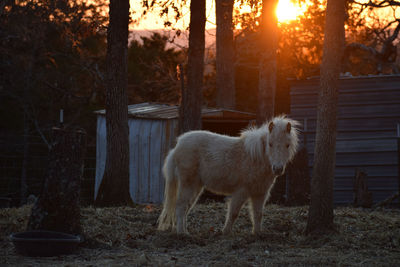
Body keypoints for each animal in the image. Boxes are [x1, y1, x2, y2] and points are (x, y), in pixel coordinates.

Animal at [158, 115, 298, 234]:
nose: (278, 169)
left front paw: (257, 234)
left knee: (186, 207)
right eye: (270, 144)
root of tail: (177, 146)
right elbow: (234, 213)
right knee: (181, 206)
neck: (255, 158)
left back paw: (185, 231)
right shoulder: (242, 191)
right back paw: (182, 233)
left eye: (287, 145)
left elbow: (258, 214)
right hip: (188, 184)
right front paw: (226, 232)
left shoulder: (260, 193)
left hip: (196, 187)